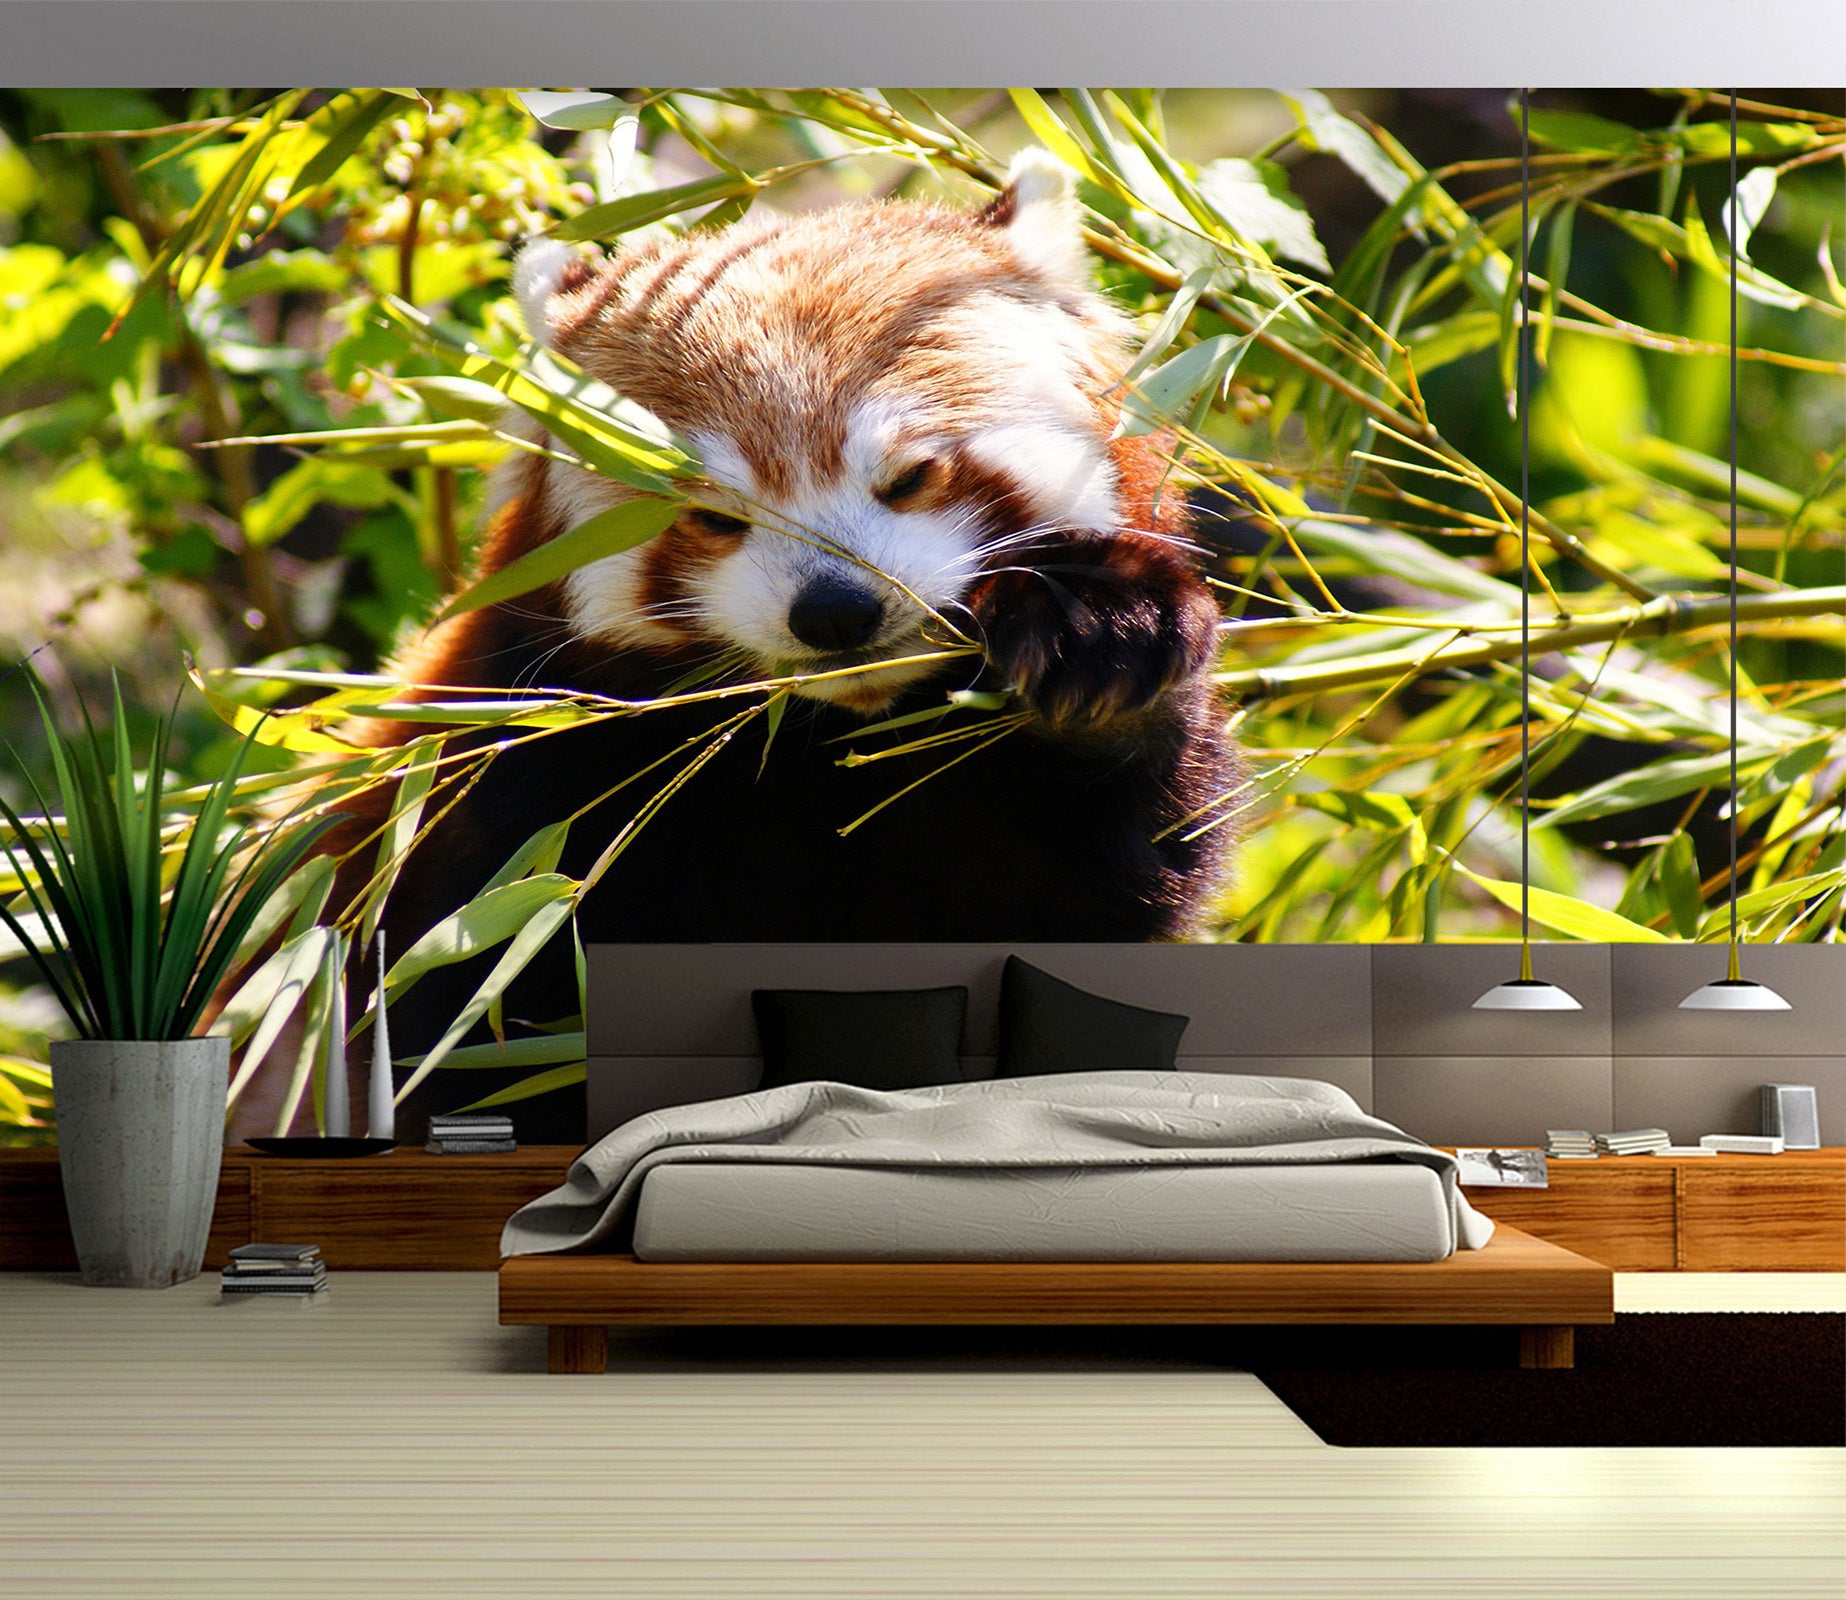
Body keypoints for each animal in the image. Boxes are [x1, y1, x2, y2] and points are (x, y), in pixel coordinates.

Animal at [319, 150, 1240, 1140]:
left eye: (910, 476)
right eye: (717, 518)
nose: (836, 612)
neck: (827, 754)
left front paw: (1104, 638)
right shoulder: (510, 798)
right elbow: (479, 1027)